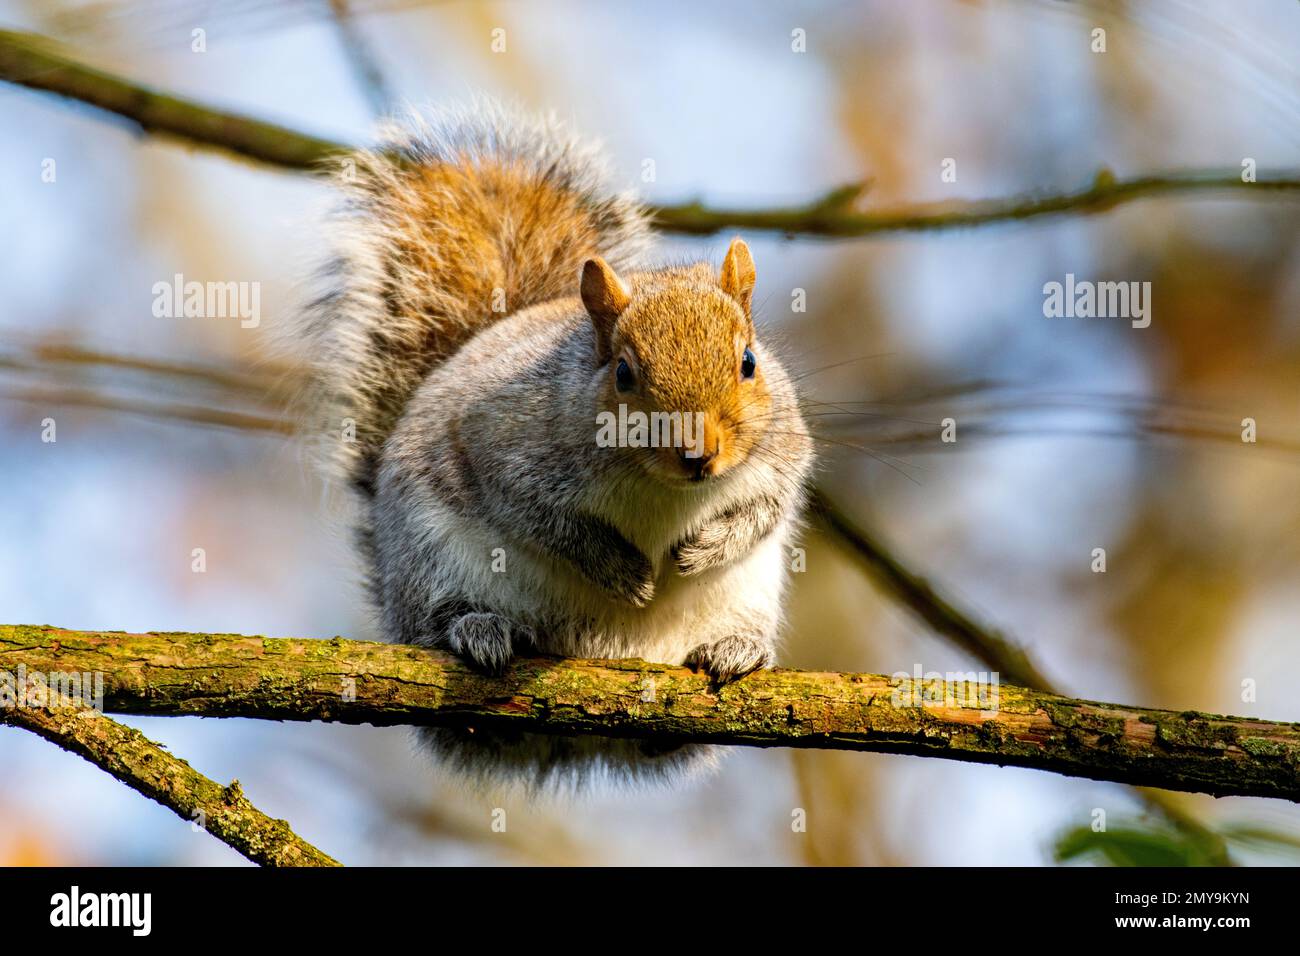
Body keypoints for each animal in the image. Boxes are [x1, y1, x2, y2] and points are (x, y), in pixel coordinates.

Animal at [302, 102, 811, 790]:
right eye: (623, 372)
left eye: (750, 363)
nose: (698, 455)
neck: (661, 487)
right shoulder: (503, 445)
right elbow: (543, 520)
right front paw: (620, 571)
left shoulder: (785, 450)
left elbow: (768, 505)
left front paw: (707, 546)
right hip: (430, 556)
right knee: (437, 619)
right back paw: (478, 629)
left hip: (748, 593)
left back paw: (734, 652)